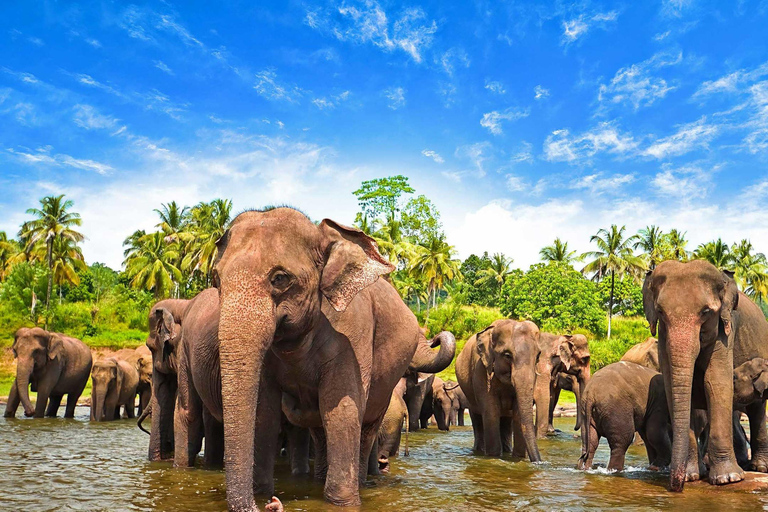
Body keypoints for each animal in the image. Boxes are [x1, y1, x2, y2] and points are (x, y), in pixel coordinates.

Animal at [210, 208, 456, 512]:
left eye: (280, 278)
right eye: (216, 280)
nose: (273, 504)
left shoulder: (353, 332)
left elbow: (342, 410)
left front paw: (342, 502)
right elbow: (264, 412)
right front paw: (262, 491)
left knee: (365, 428)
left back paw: (360, 482)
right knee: (319, 429)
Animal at [456, 320, 540, 460]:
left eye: (538, 356)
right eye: (507, 355)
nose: (538, 462)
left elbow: (518, 413)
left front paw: (518, 458)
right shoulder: (480, 370)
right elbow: (491, 411)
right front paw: (493, 457)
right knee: (477, 419)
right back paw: (479, 451)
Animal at [640, 262, 768, 490]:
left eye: (706, 312)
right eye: (661, 312)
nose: (676, 486)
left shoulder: (725, 332)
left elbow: (716, 383)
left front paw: (728, 479)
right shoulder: (663, 338)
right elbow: (674, 386)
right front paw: (692, 476)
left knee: (757, 409)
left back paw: (758, 467)